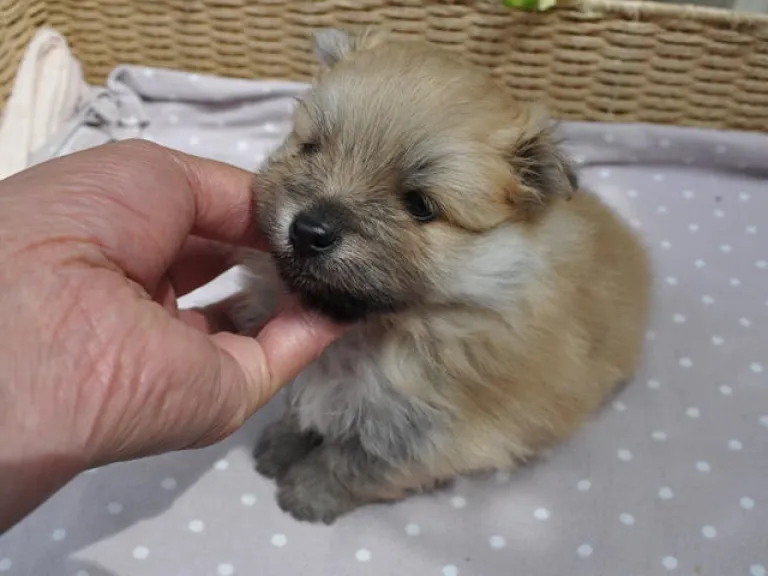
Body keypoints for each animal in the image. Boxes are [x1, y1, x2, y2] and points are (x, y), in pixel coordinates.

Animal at [233, 27, 652, 524]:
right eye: (311, 148)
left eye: (419, 206)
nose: (308, 230)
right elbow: (302, 412)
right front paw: (281, 445)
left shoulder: (426, 432)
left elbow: (352, 463)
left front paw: (307, 492)